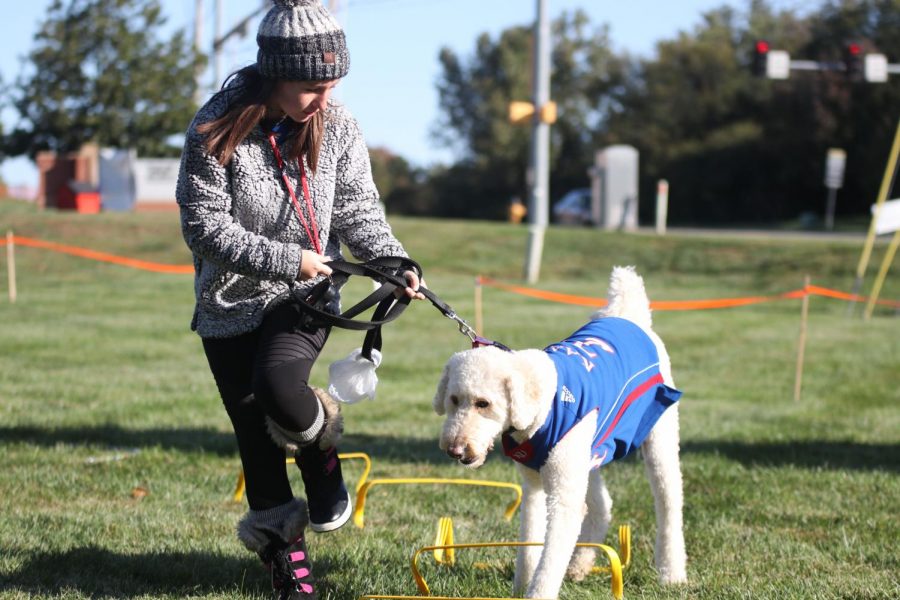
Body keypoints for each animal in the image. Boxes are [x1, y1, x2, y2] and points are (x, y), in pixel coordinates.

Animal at [432, 268, 684, 600]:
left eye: (482, 403)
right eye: (453, 400)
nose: (455, 450)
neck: (544, 403)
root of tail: (628, 315)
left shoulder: (562, 494)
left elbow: (551, 557)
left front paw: (537, 592)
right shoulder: (535, 483)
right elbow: (529, 541)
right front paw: (521, 587)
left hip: (658, 435)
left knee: (669, 502)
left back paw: (672, 573)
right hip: (587, 454)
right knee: (602, 505)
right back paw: (580, 565)